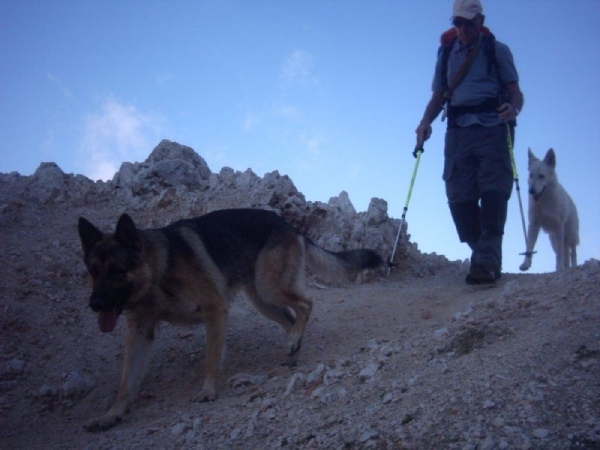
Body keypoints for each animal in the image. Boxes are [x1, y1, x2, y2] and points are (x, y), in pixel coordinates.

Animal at [78, 209, 384, 430]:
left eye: (118, 270)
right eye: (93, 270)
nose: (95, 305)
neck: (158, 269)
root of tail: (287, 223)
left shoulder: (215, 311)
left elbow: (211, 358)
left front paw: (209, 391)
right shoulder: (140, 331)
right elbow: (126, 381)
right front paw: (112, 414)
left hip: (269, 287)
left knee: (307, 304)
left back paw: (294, 342)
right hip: (263, 299)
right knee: (291, 317)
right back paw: (292, 351)